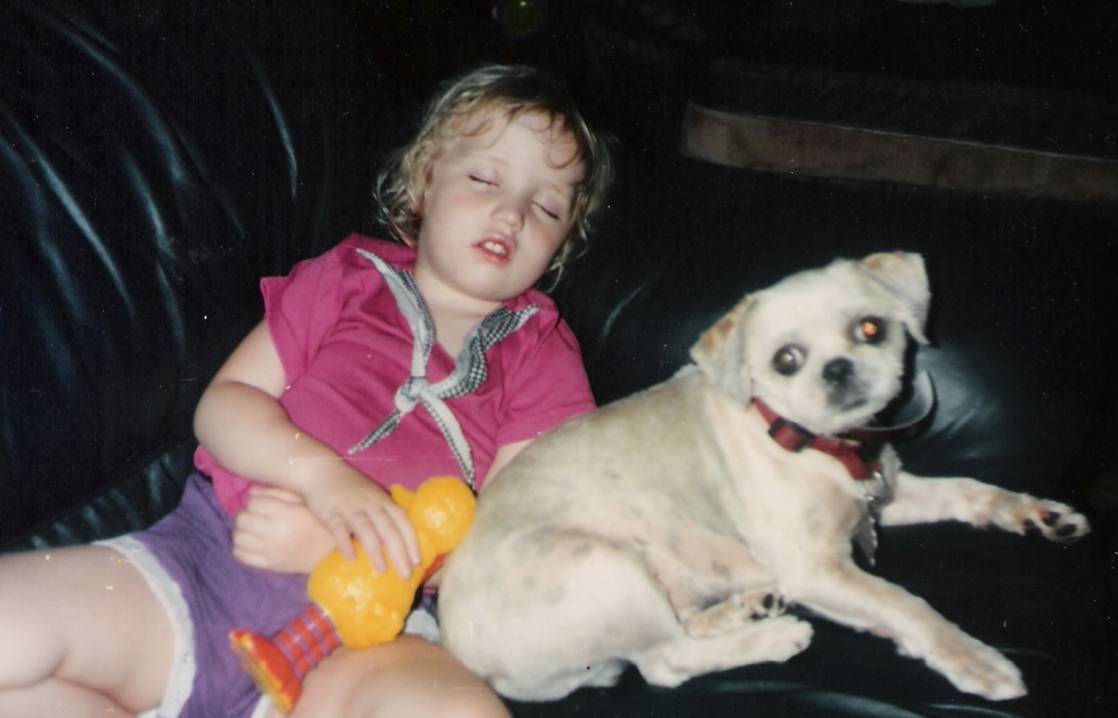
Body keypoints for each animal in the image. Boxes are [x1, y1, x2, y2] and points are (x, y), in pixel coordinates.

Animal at [438, 251, 1091, 697]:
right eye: (786, 360)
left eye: (872, 328)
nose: (839, 369)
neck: (815, 446)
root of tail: (469, 659)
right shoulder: (816, 569)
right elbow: (905, 604)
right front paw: (973, 658)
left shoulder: (887, 494)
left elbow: (969, 489)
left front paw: (1039, 514)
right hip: (605, 567)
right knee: (665, 662)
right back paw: (775, 637)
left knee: (680, 635)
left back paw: (748, 609)